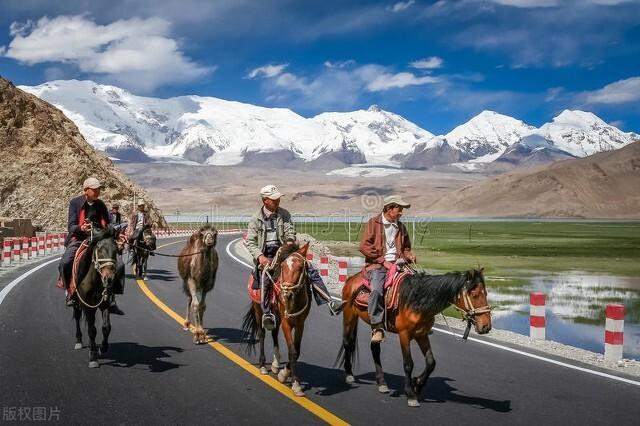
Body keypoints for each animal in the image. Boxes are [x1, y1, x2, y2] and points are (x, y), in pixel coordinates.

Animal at [71, 228, 120, 368]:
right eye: (99, 249)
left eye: (116, 249)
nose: (108, 278)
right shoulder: (87, 305)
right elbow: (92, 330)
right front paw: (93, 357)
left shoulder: (105, 303)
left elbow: (106, 327)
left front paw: (102, 348)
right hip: (77, 302)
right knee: (77, 317)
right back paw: (79, 341)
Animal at [241, 241, 312, 398]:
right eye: (283, 266)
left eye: (300, 267)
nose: (287, 294)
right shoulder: (286, 323)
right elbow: (292, 351)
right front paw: (294, 383)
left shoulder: (300, 324)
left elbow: (297, 350)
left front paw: (284, 373)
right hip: (258, 310)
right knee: (262, 334)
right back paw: (262, 365)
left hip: (276, 315)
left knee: (273, 333)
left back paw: (275, 364)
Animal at [338, 268, 492, 408]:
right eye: (474, 295)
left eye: (485, 293)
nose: (486, 326)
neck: (418, 301)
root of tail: (352, 278)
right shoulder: (404, 335)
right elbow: (408, 364)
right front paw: (411, 394)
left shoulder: (422, 335)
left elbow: (431, 362)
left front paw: (417, 384)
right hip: (349, 315)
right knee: (347, 343)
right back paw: (349, 375)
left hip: (375, 323)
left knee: (374, 348)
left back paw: (382, 383)